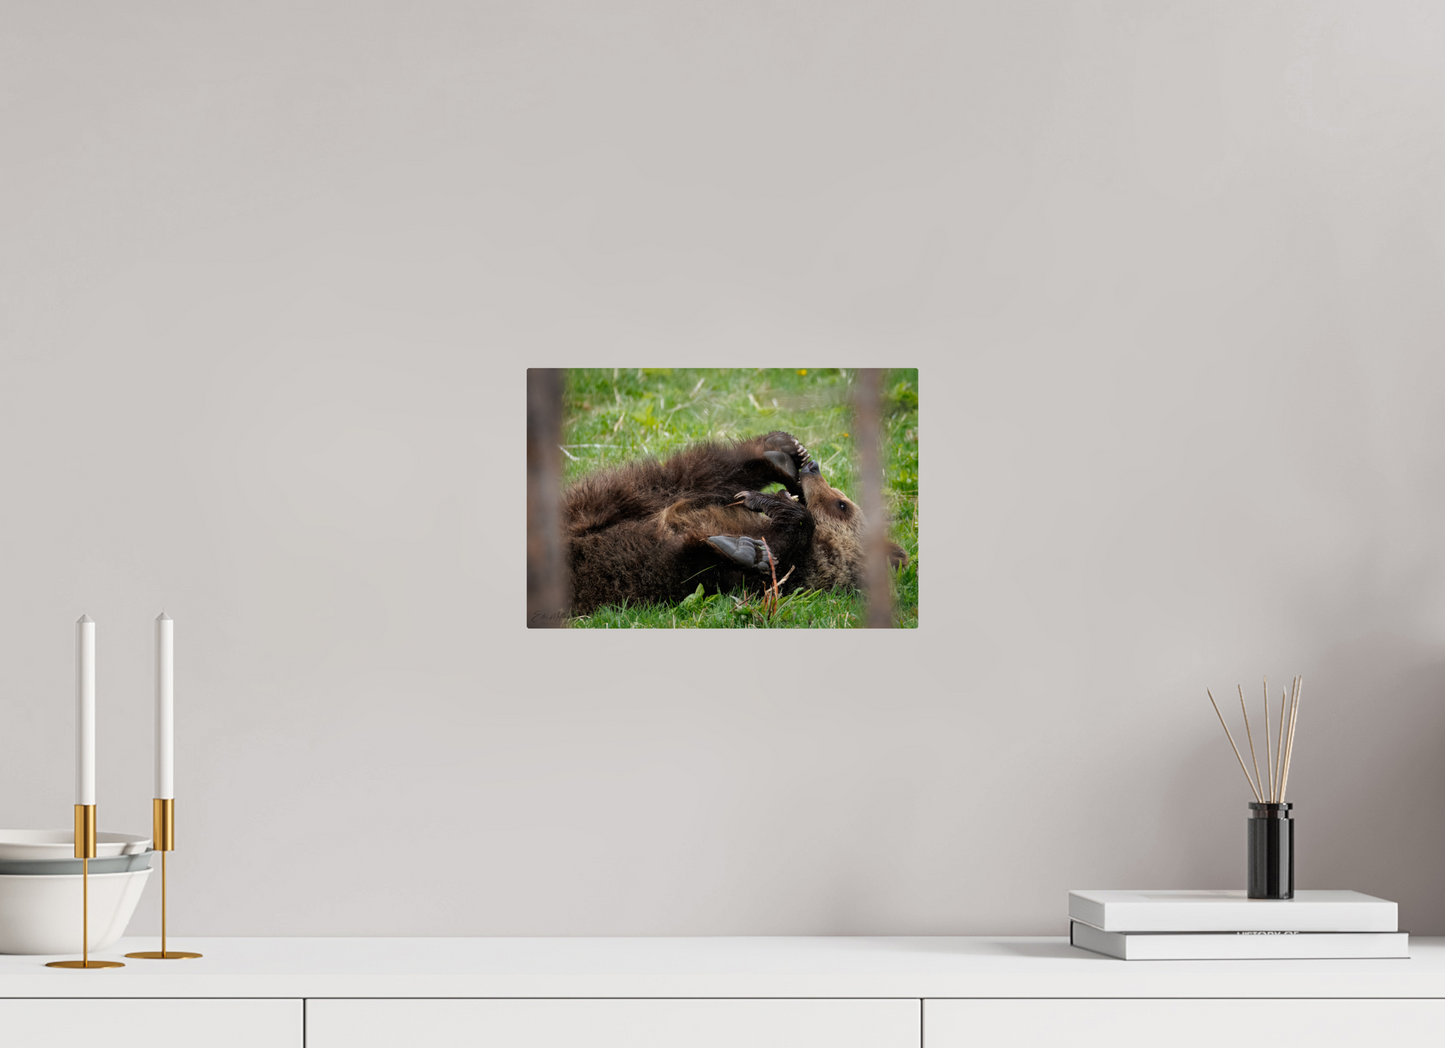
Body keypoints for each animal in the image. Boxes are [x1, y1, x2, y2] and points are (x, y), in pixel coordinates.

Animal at [563, 430, 908, 614]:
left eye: (842, 505)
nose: (813, 468)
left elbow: (705, 563)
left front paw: (748, 547)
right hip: (608, 500)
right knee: (685, 476)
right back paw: (779, 452)